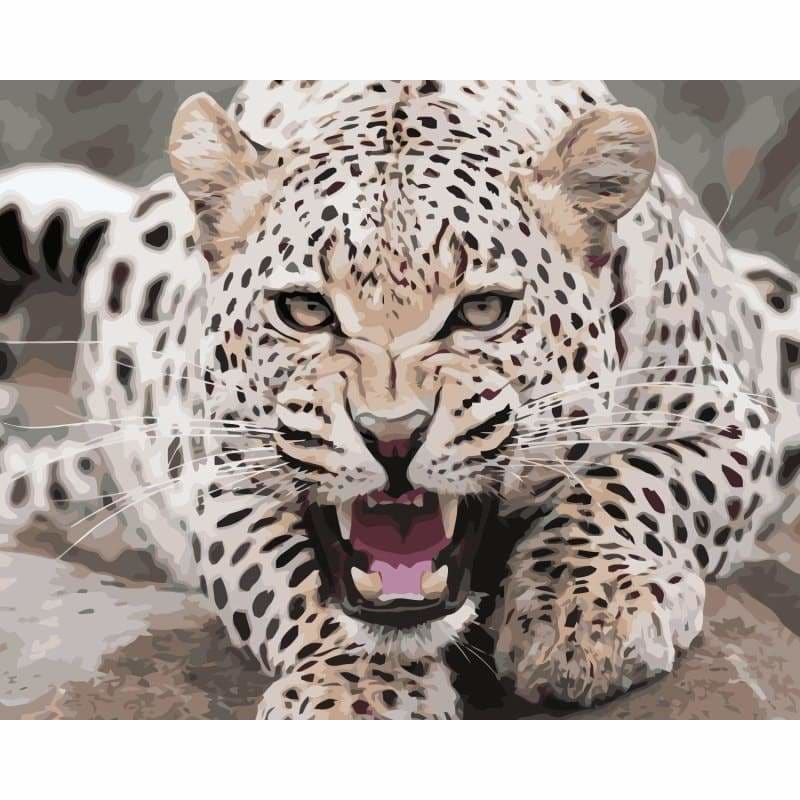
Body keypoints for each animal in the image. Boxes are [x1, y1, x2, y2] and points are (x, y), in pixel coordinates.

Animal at [1, 80, 799, 719]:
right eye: (305, 311)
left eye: (482, 311)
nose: (392, 436)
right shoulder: (216, 470)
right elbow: (292, 583)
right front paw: (357, 697)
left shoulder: (730, 419)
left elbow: (625, 486)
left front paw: (583, 617)